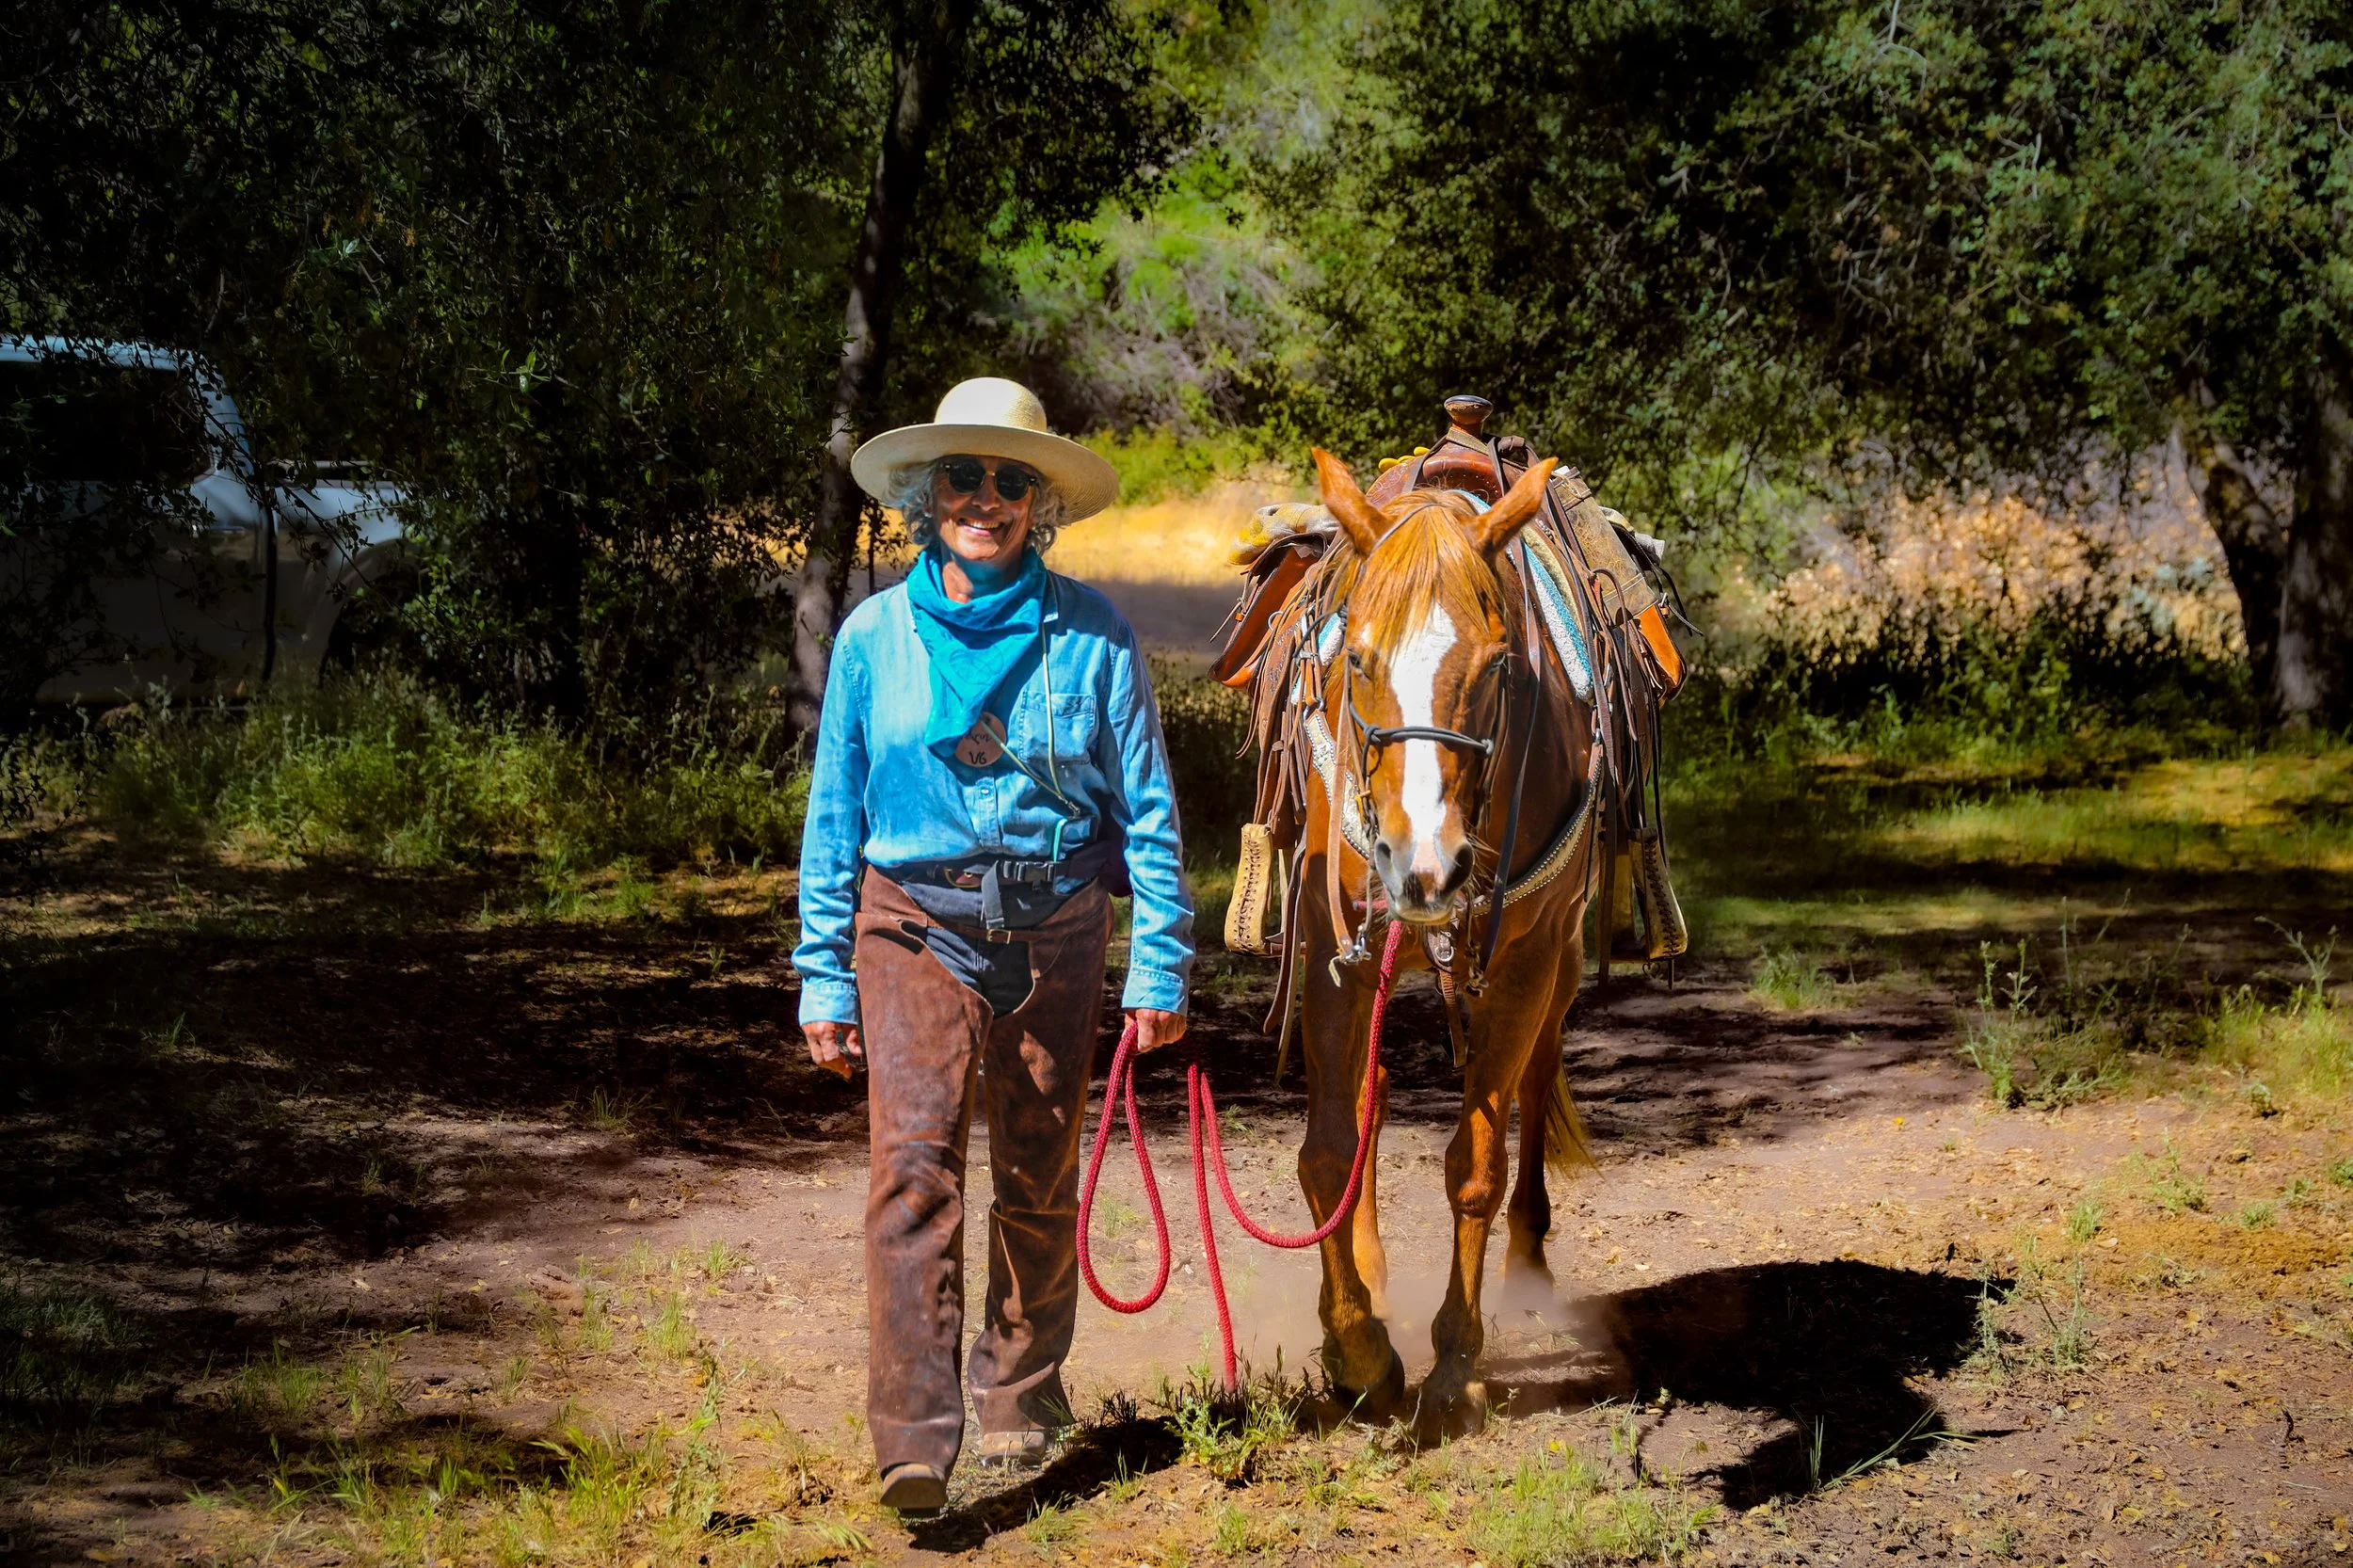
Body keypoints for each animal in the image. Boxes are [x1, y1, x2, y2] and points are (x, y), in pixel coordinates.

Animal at [1289, 445, 1598, 1432]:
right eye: (1355, 655)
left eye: (1500, 666)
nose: (1424, 864)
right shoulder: (1333, 948)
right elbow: (1329, 1147)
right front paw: (1356, 1349)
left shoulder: (1526, 960)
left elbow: (1476, 1162)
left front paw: (1455, 1361)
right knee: (1372, 1091)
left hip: (1555, 962)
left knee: (1533, 1079)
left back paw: (1528, 1271)